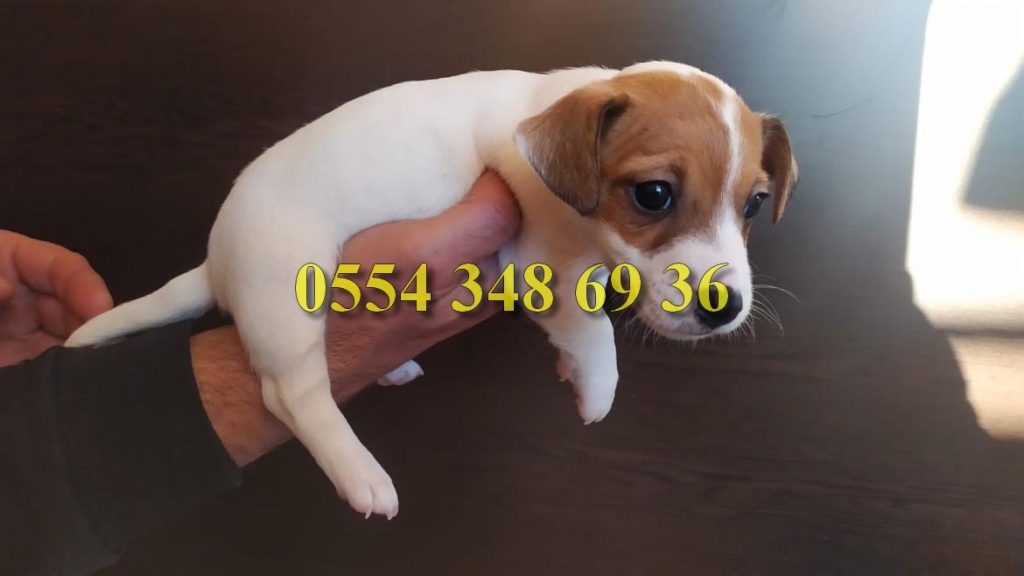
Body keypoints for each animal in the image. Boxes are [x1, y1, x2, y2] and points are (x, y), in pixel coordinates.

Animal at [66, 61, 797, 520]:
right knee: (292, 393)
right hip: (288, 291)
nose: (725, 309)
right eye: (653, 195)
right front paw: (596, 386)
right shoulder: (539, 262)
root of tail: (216, 262)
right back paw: (361, 474)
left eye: (755, 204)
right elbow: (592, 333)